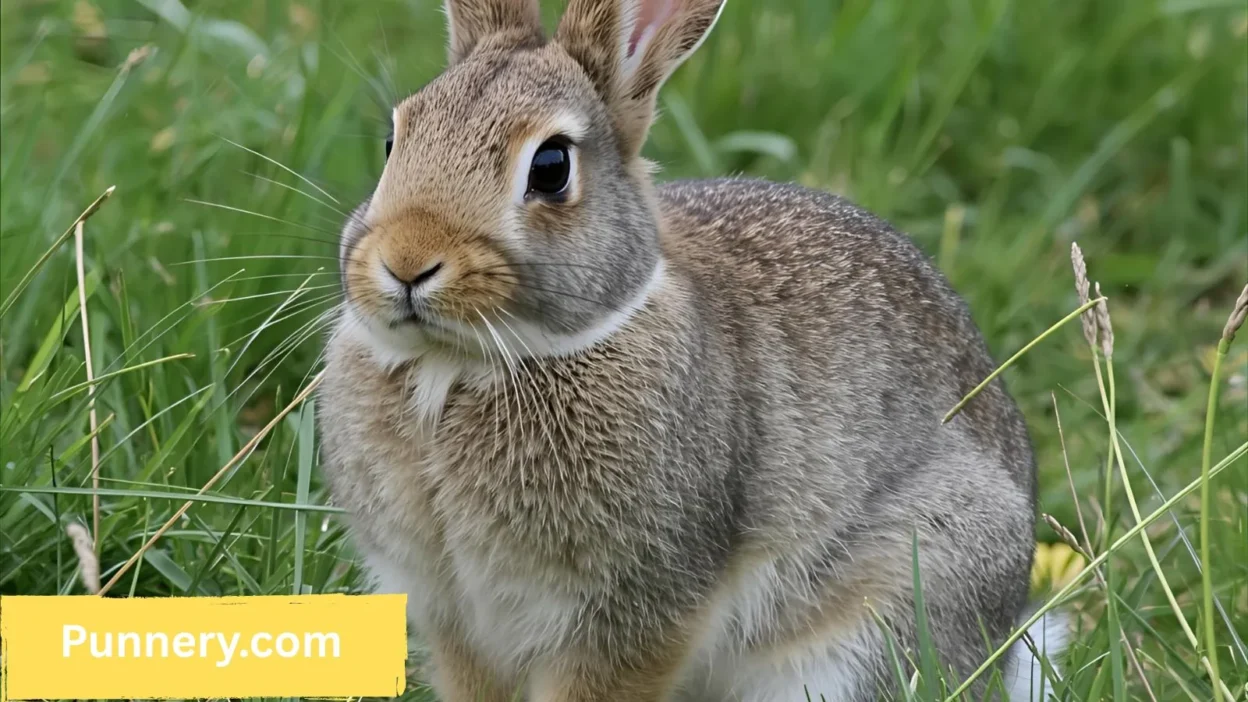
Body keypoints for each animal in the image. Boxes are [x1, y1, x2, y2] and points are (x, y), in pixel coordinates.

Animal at [317, 0, 1066, 700]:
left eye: (552, 167)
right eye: (395, 138)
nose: (407, 261)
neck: (458, 367)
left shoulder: (636, 611)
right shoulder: (455, 619)